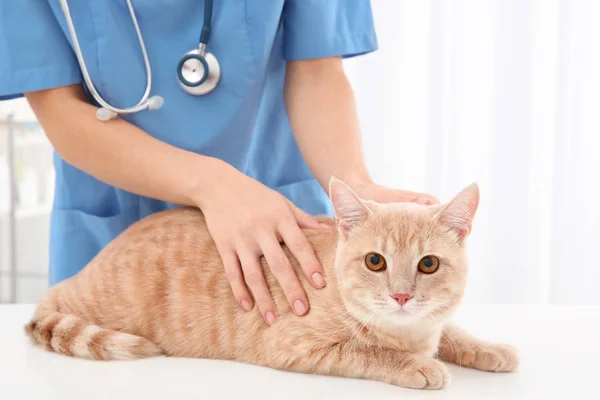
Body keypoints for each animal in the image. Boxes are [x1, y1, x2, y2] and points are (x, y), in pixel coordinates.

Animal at [25, 178, 516, 390]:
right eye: (375, 261)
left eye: (428, 264)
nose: (400, 295)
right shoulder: (295, 345)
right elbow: (366, 353)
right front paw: (416, 365)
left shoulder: (434, 322)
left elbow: (452, 332)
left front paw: (488, 348)